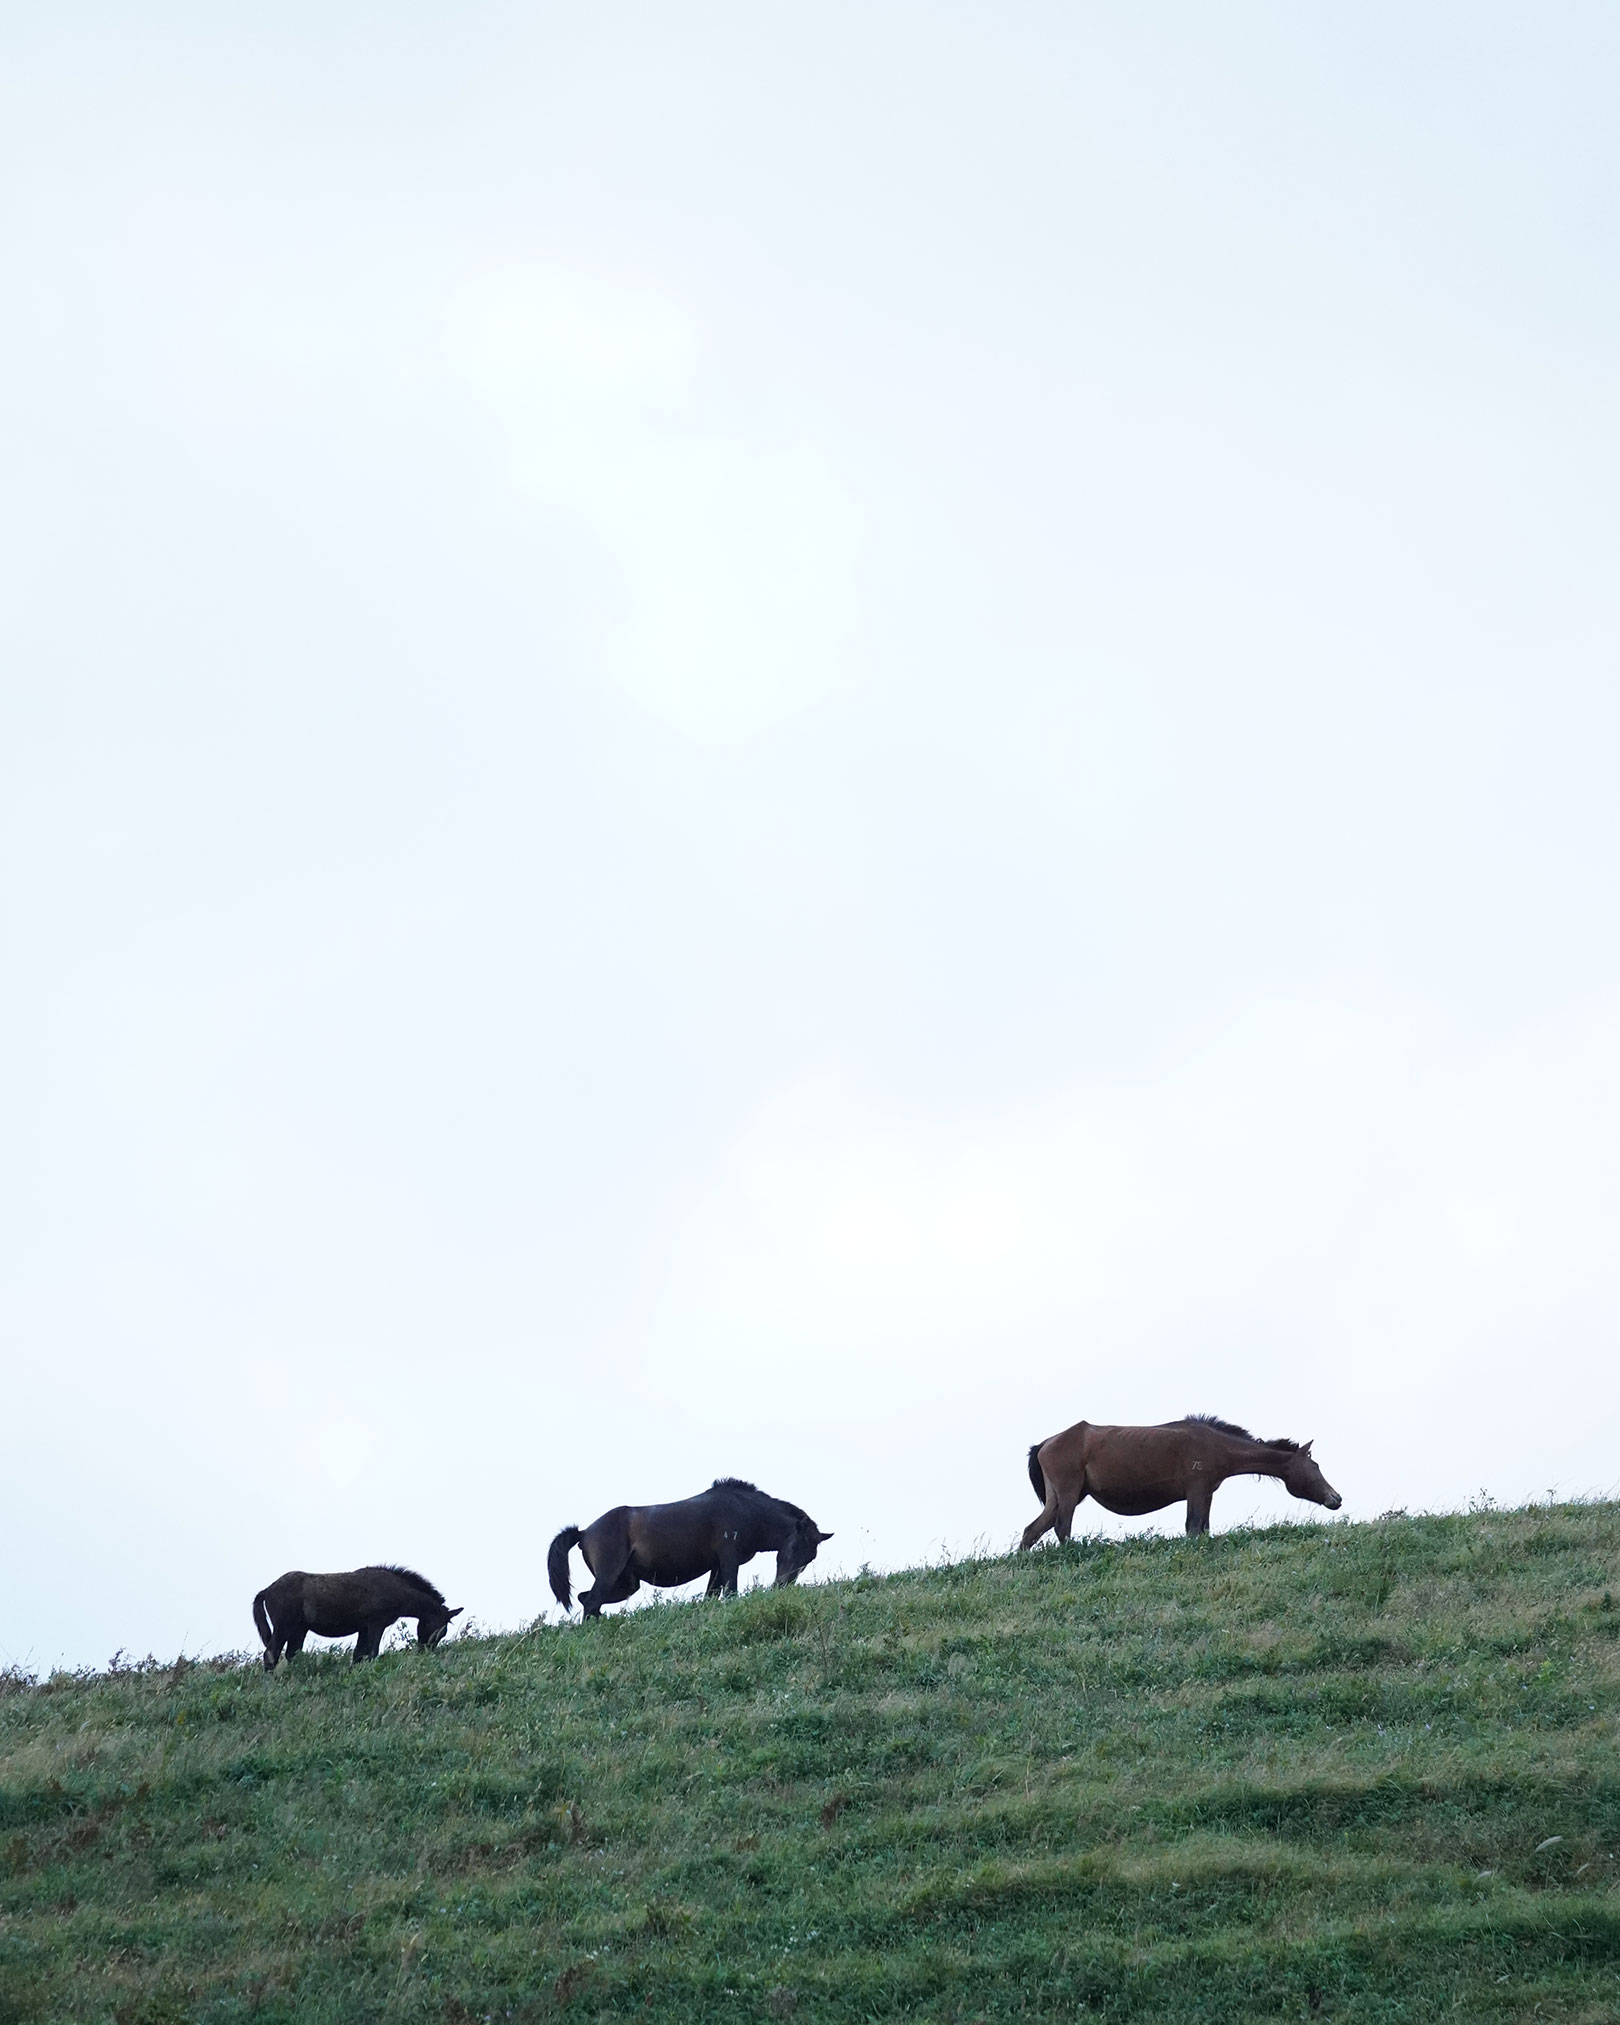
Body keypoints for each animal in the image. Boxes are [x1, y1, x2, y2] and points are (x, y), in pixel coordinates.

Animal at [250, 1563, 461, 1676]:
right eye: (440, 1630)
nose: (425, 1652)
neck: (396, 1588)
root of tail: (267, 1590)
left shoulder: (363, 1629)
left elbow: (358, 1656)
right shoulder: (376, 1624)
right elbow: (372, 1653)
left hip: (299, 1629)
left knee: (292, 1654)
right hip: (284, 1627)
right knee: (271, 1654)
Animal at [546, 1482, 830, 1620]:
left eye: (810, 1558)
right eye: (793, 1546)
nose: (782, 1585)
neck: (748, 1511)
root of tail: (584, 1532)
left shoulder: (717, 1567)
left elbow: (711, 1596)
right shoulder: (729, 1561)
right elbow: (731, 1593)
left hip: (627, 1584)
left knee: (587, 1600)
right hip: (609, 1577)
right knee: (591, 1601)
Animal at [1024, 1409, 1344, 1547]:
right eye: (1315, 1466)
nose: (1336, 1498)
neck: (1217, 1445)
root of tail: (1045, 1443)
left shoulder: (1207, 1493)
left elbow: (1203, 1529)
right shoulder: (1196, 1489)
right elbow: (1192, 1528)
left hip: (1062, 1495)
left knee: (1032, 1531)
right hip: (1069, 1492)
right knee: (1062, 1528)